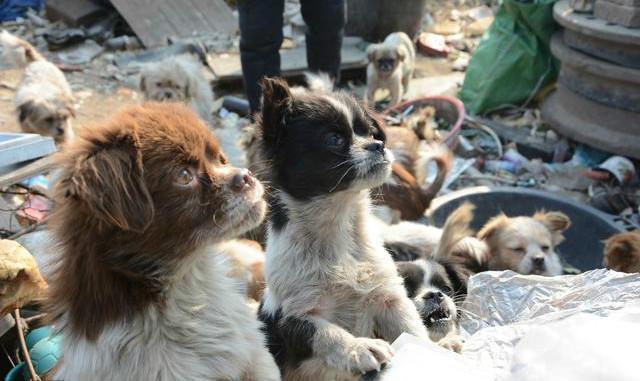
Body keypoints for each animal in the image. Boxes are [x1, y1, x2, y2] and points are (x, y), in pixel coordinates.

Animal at [255, 76, 430, 378]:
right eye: (334, 139)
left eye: (370, 133)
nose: (378, 145)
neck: (339, 218)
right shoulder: (290, 316)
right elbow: (326, 332)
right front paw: (359, 348)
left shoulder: (389, 297)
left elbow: (412, 327)